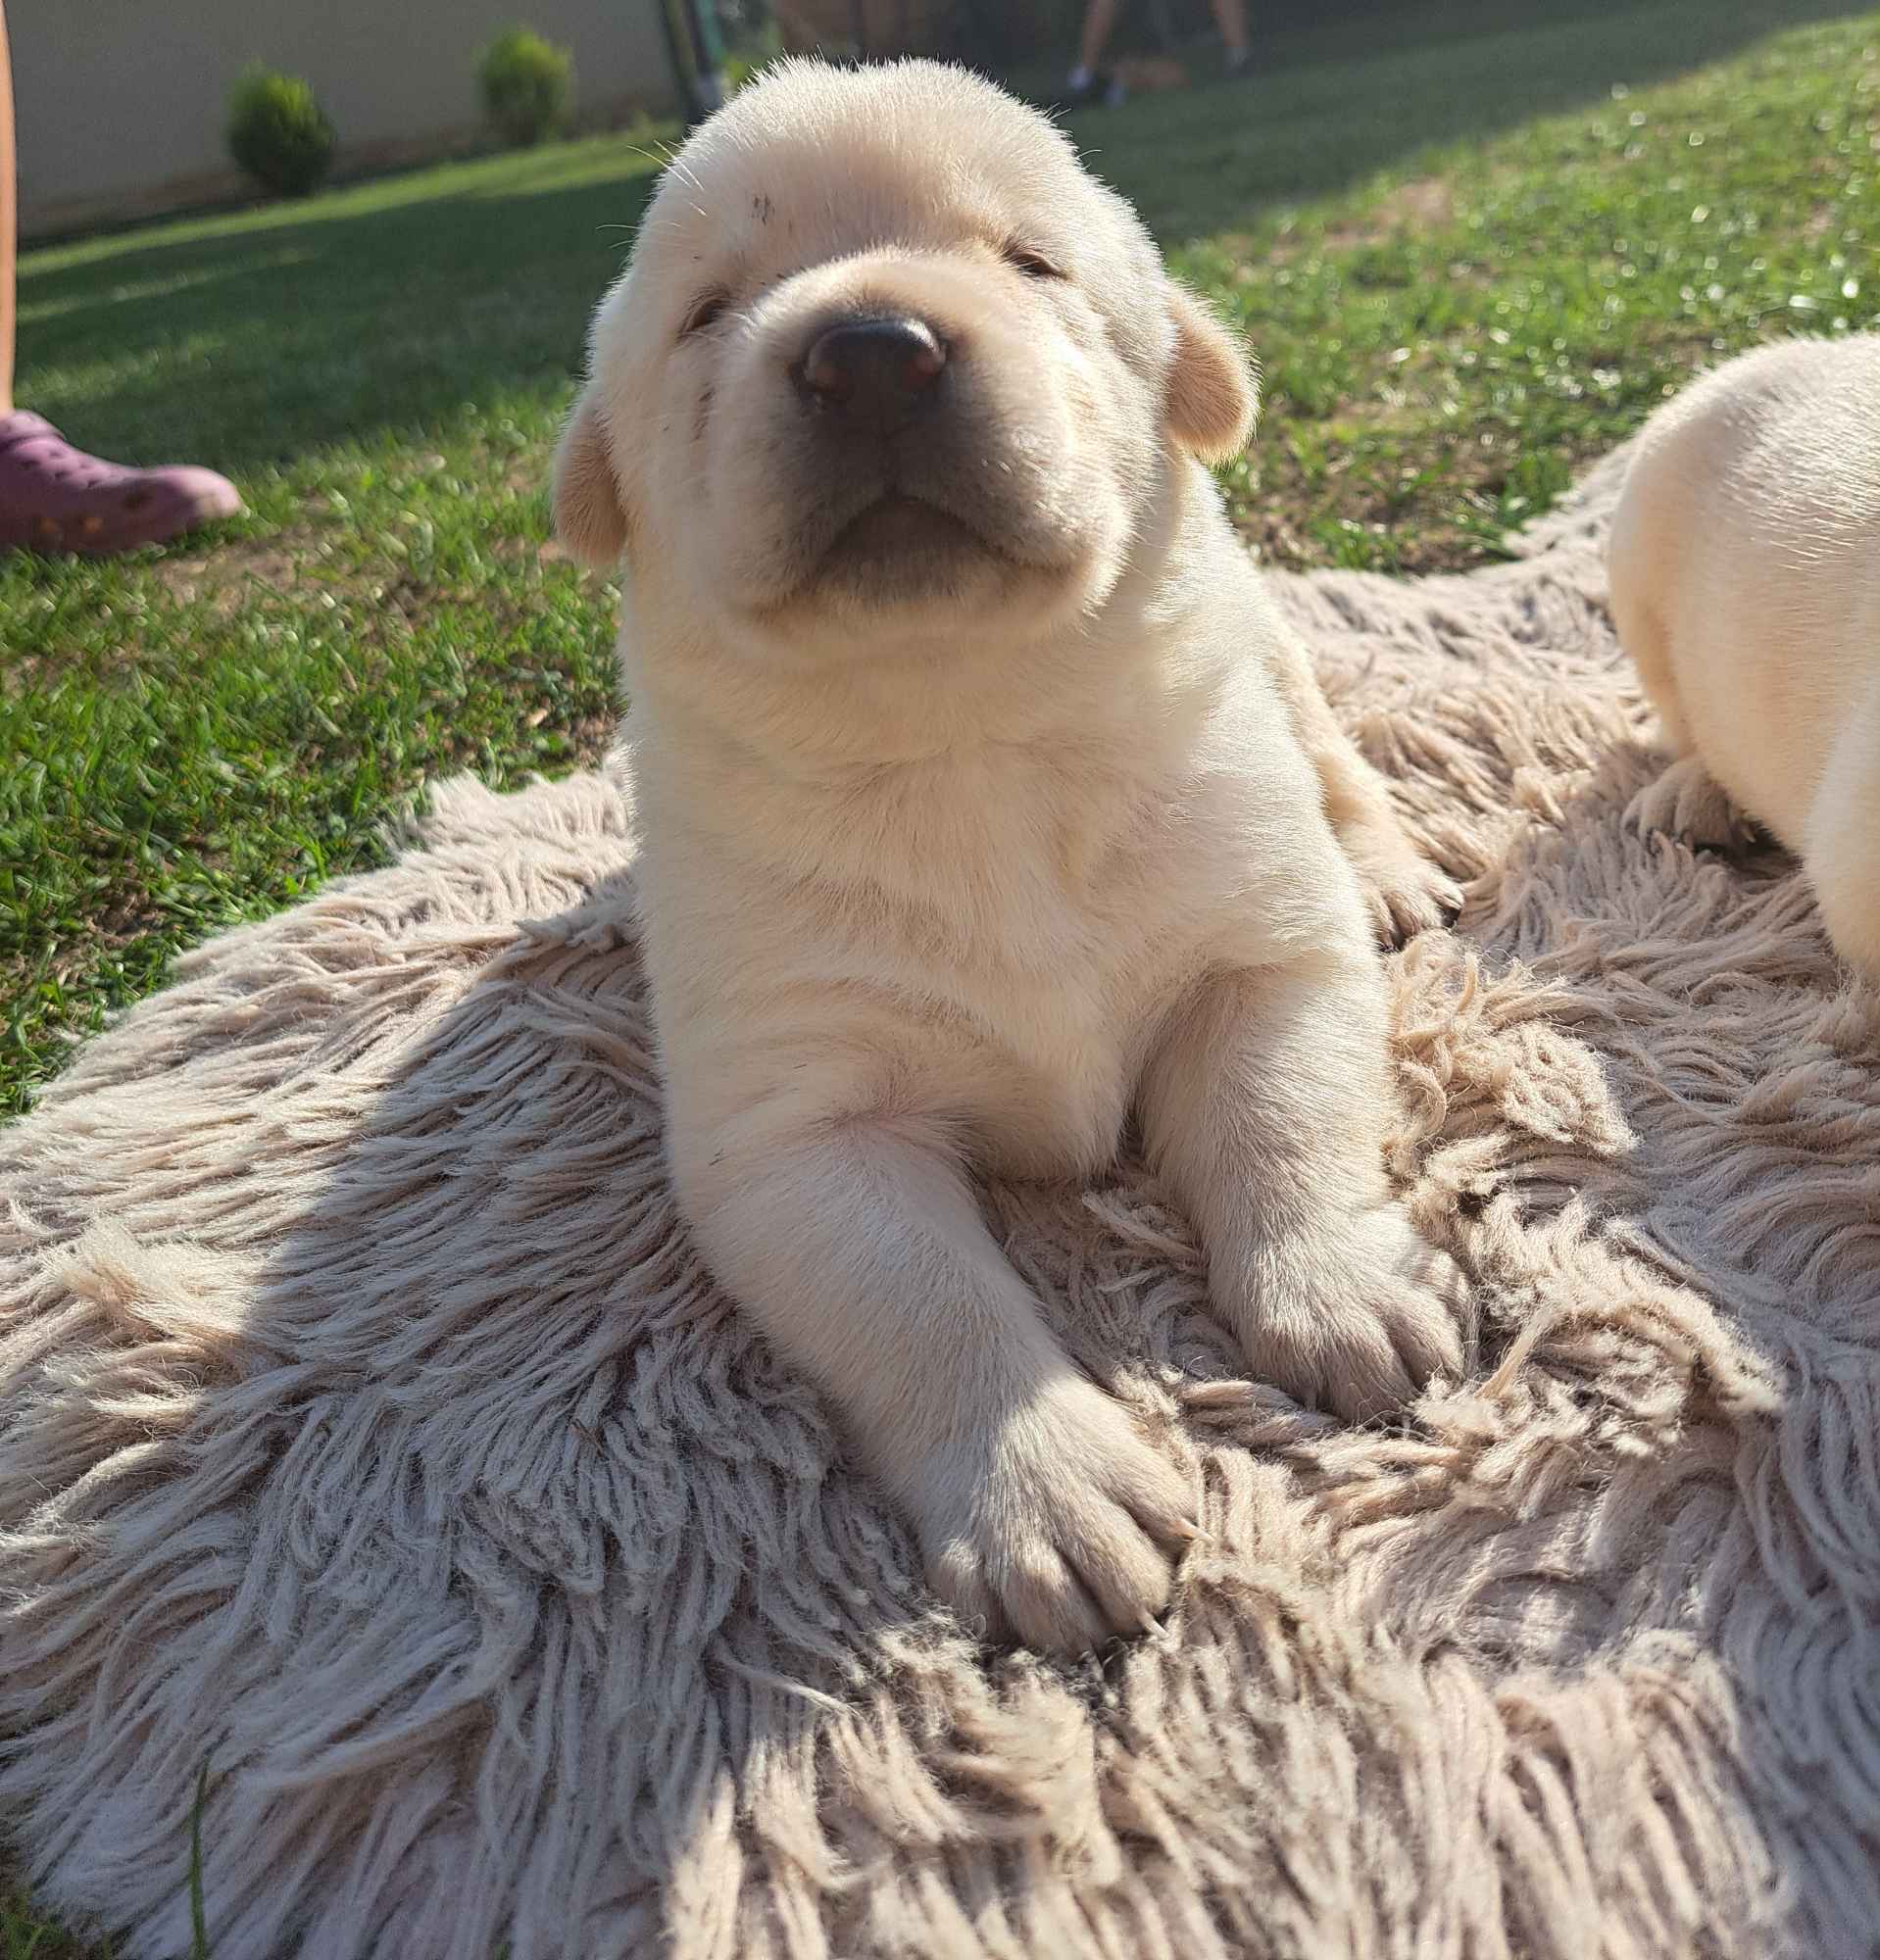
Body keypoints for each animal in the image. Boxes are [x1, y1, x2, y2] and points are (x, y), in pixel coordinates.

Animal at [557, 61, 1474, 1646]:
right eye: (708, 310)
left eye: (1029, 262)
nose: (868, 353)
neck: (964, 730)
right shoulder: (794, 1133)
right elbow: (922, 1297)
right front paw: (1043, 1486)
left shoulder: (1255, 952)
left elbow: (1280, 1118)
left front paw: (1340, 1288)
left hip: (1271, 638)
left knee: (1325, 740)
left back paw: (1384, 865)